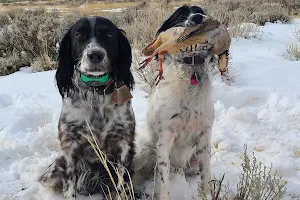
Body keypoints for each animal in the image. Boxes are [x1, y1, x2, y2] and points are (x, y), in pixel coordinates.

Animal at [39, 16, 135, 199]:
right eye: (79, 35)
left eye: (109, 35)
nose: (95, 55)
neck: (95, 91)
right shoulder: (69, 147)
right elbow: (70, 187)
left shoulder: (124, 143)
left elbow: (124, 184)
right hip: (54, 168)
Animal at [134, 5, 216, 199]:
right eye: (181, 14)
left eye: (201, 11)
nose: (197, 17)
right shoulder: (166, 137)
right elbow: (163, 181)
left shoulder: (204, 137)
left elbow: (206, 177)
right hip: (147, 151)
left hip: (192, 162)